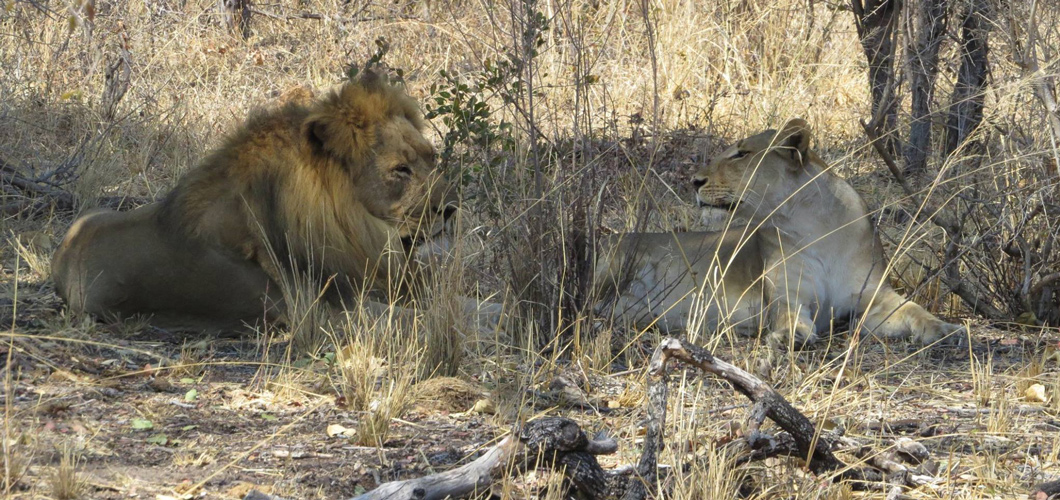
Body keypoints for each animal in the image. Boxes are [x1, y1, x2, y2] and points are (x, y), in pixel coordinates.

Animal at [52, 72, 460, 332]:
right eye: (401, 170)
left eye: (432, 159)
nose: (451, 209)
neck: (357, 227)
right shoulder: (325, 312)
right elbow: (445, 314)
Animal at [593, 119, 966, 349]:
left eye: (742, 153)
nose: (694, 181)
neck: (814, 227)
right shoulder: (788, 294)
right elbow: (788, 315)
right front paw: (790, 335)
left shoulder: (874, 298)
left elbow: (915, 309)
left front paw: (946, 329)